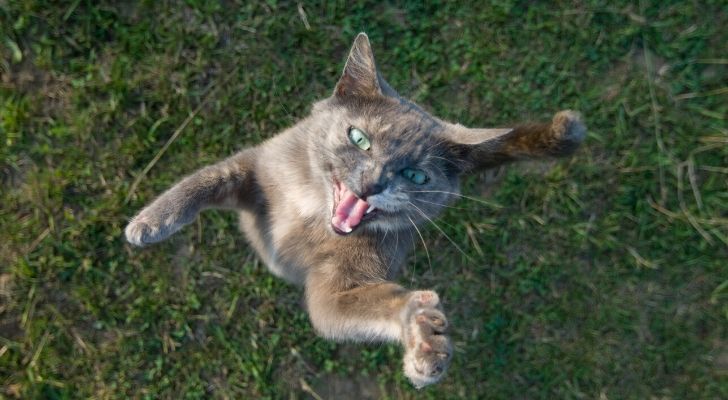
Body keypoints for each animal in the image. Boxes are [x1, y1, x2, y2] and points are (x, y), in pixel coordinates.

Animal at [125, 32, 584, 390]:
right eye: (358, 138)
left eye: (416, 175)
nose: (372, 184)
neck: (311, 214)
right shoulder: (261, 165)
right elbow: (207, 178)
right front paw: (149, 223)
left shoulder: (349, 278)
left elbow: (353, 307)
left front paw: (422, 334)